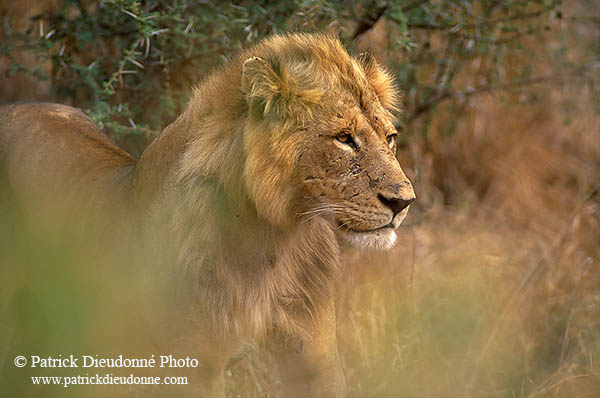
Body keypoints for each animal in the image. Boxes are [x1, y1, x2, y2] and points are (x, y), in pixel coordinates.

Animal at [0, 34, 412, 398]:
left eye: (390, 138)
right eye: (344, 138)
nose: (403, 202)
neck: (271, 242)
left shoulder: (314, 356)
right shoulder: (193, 368)